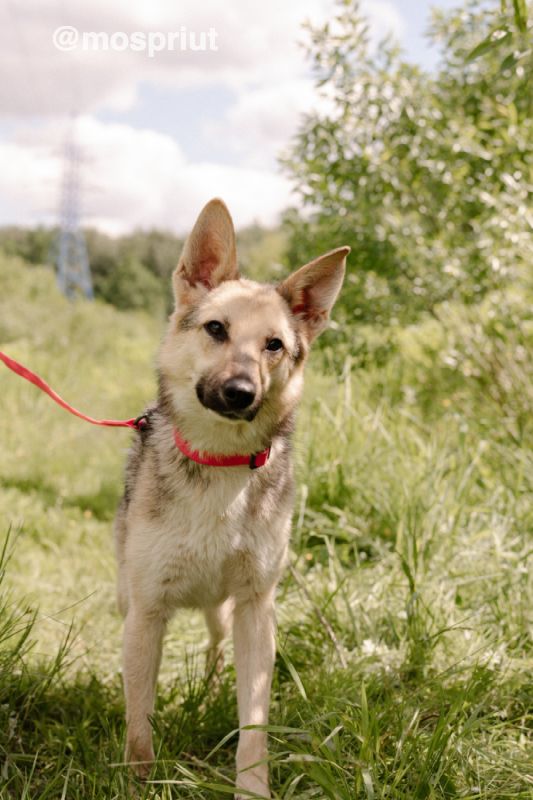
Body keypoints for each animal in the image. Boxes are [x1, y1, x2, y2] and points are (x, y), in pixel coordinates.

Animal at [115, 197, 350, 796]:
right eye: (216, 329)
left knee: (216, 650)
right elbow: (139, 720)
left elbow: (255, 723)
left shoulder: (255, 609)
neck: (220, 465)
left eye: (275, 345)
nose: (241, 392)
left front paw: (253, 788)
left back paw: (209, 685)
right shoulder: (147, 612)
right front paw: (138, 779)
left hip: (223, 613)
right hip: (130, 597)